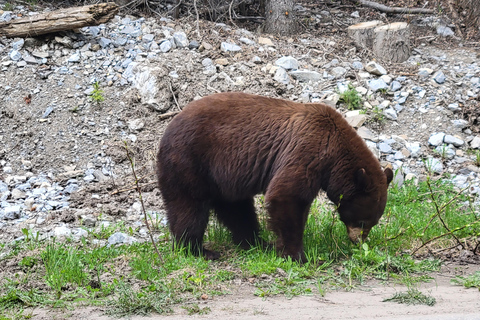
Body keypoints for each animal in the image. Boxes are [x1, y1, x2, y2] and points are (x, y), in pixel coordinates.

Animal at [158, 91, 394, 262]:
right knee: (189, 207)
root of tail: (168, 126)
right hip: (190, 161)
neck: (334, 154)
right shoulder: (308, 151)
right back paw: (197, 250)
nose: (358, 240)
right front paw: (296, 254)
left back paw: (257, 242)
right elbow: (286, 195)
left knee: (237, 210)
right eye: (363, 221)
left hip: (223, 179)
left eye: (373, 222)